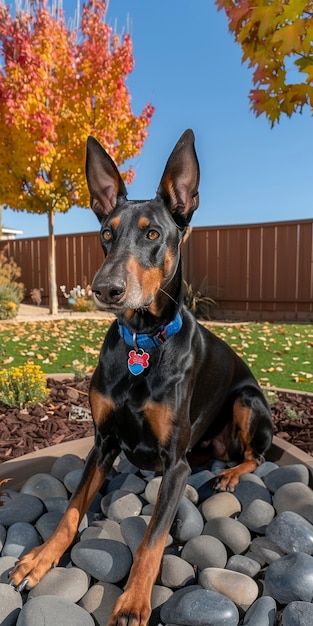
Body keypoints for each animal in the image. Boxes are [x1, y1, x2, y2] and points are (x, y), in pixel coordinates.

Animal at [11, 130, 272, 624]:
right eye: (106, 234)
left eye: (153, 234)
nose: (106, 289)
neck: (144, 343)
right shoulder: (103, 443)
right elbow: (71, 510)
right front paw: (40, 559)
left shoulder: (175, 464)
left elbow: (152, 540)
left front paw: (133, 601)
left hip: (248, 401)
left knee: (256, 457)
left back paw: (231, 476)